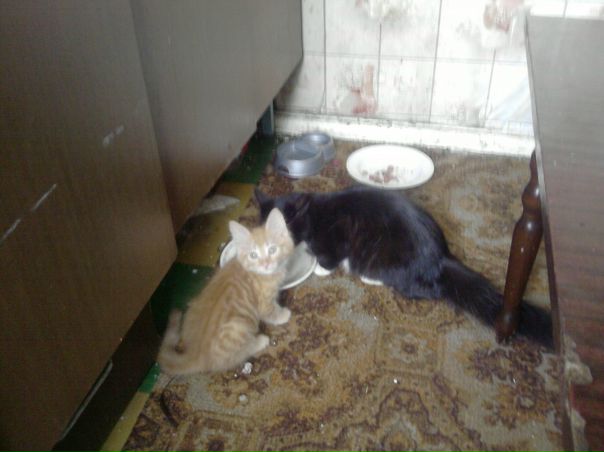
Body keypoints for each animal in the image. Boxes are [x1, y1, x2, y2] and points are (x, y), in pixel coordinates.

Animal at [157, 208, 295, 375]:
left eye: (272, 250)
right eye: (253, 255)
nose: (266, 264)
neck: (258, 273)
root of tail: (197, 354)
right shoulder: (264, 302)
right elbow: (271, 312)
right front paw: (282, 315)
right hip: (239, 326)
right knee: (234, 357)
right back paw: (259, 342)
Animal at [255, 186, 553, 348]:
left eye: (278, 233)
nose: (266, 250)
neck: (313, 216)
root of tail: (441, 258)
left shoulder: (336, 235)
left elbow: (329, 257)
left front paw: (319, 267)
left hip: (387, 259)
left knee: (424, 291)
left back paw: (370, 277)